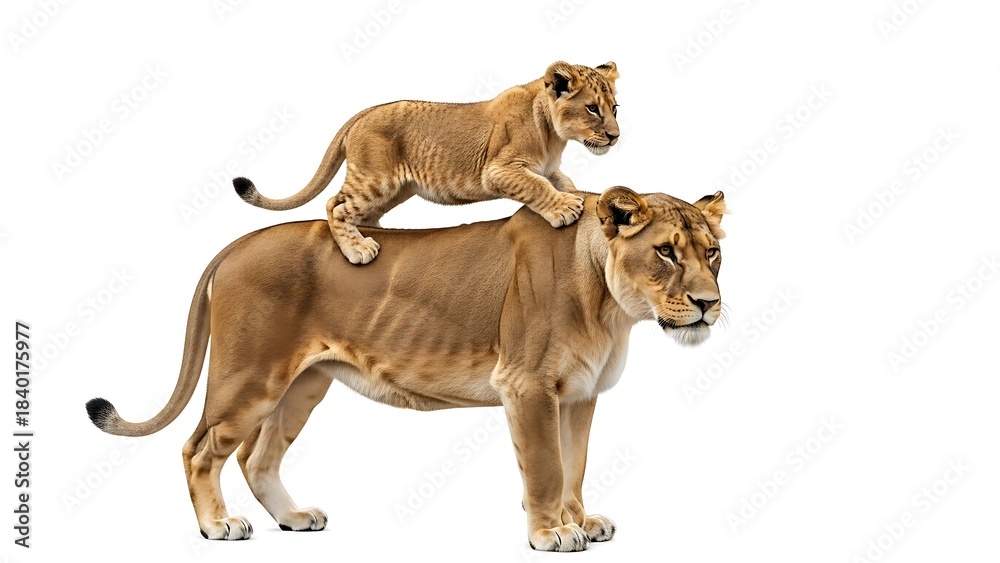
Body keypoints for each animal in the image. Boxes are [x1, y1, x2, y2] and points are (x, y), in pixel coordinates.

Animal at [85, 187, 726, 552]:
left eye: (712, 251)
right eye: (666, 252)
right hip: (250, 378)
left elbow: (575, 467)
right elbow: (546, 469)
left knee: (255, 457)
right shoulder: (528, 387)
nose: (708, 303)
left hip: (304, 385)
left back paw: (294, 518)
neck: (609, 305)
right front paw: (551, 534)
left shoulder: (578, 395)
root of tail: (236, 244)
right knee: (200, 449)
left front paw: (582, 521)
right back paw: (218, 527)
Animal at [232, 61, 621, 264]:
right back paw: (359, 248)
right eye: (591, 108)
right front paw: (565, 209)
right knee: (335, 205)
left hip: (394, 189)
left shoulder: (548, 167)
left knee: (357, 211)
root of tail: (361, 114)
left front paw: (575, 196)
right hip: (376, 179)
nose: (615, 136)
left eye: (614, 108)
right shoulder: (497, 170)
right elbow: (537, 186)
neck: (554, 134)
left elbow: (561, 181)